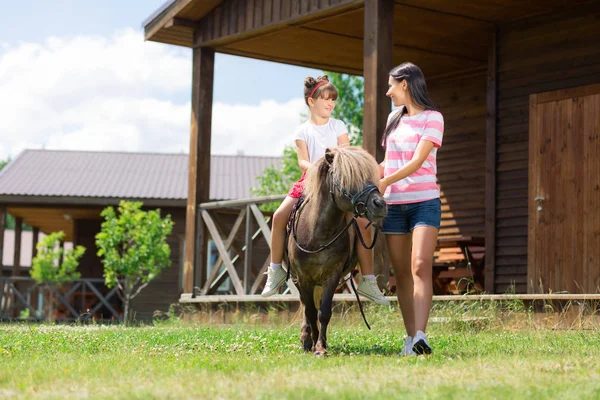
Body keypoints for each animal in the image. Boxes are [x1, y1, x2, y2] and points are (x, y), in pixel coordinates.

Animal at [284, 146, 386, 356]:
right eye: (349, 177)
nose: (380, 205)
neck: (318, 232)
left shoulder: (332, 275)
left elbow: (323, 312)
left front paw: (321, 346)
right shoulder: (303, 277)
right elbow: (310, 311)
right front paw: (313, 342)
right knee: (305, 305)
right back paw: (306, 338)